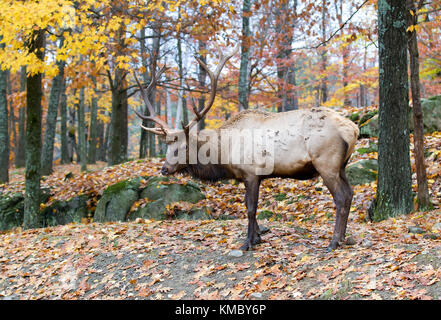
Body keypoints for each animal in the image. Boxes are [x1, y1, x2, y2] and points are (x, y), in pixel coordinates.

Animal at [134, 43, 358, 251]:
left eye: (184, 147)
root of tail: (353, 129)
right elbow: (247, 205)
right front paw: (257, 237)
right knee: (349, 194)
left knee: (340, 197)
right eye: (166, 146)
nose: (164, 169)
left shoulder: (251, 172)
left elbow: (251, 208)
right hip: (341, 165)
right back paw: (343, 238)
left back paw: (334, 241)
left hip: (326, 162)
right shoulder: (244, 176)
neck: (224, 153)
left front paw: (248, 242)